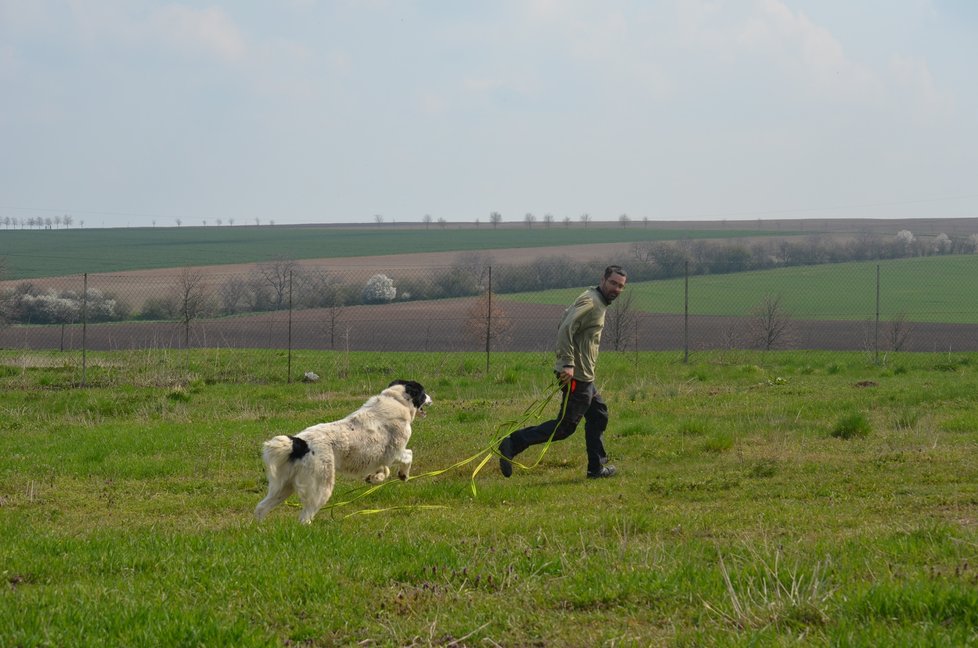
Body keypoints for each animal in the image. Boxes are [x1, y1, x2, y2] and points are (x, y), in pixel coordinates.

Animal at [255, 378, 430, 524]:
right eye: (423, 392)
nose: (430, 398)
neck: (396, 400)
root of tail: (299, 443)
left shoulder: (380, 458)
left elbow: (383, 470)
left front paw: (375, 478)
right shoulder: (395, 452)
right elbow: (409, 455)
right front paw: (403, 475)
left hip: (283, 487)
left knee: (261, 508)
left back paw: (258, 529)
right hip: (321, 487)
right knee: (305, 517)